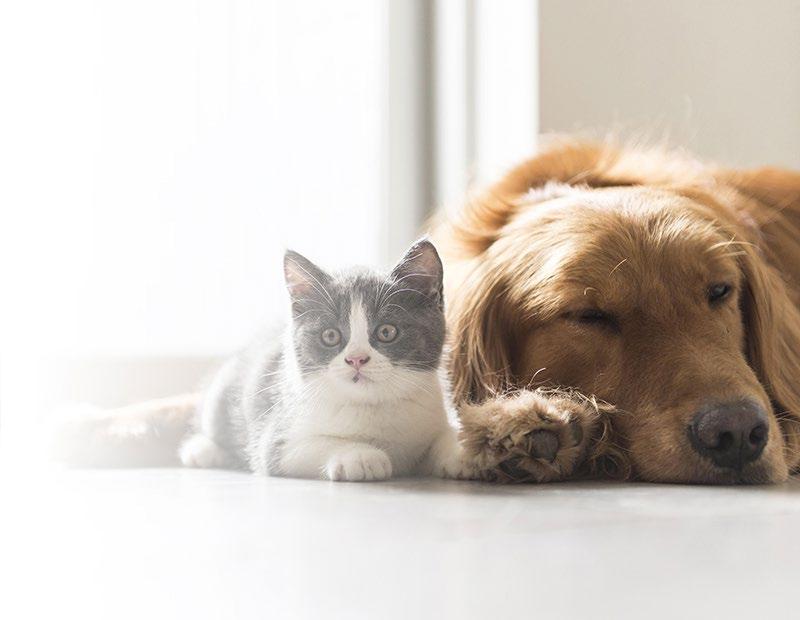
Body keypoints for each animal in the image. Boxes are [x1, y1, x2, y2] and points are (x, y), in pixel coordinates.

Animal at [178, 237, 472, 480]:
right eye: (330, 335)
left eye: (387, 332)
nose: (356, 359)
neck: (372, 405)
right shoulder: (276, 441)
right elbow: (311, 444)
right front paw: (361, 455)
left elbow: (443, 433)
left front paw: (463, 450)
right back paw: (201, 450)